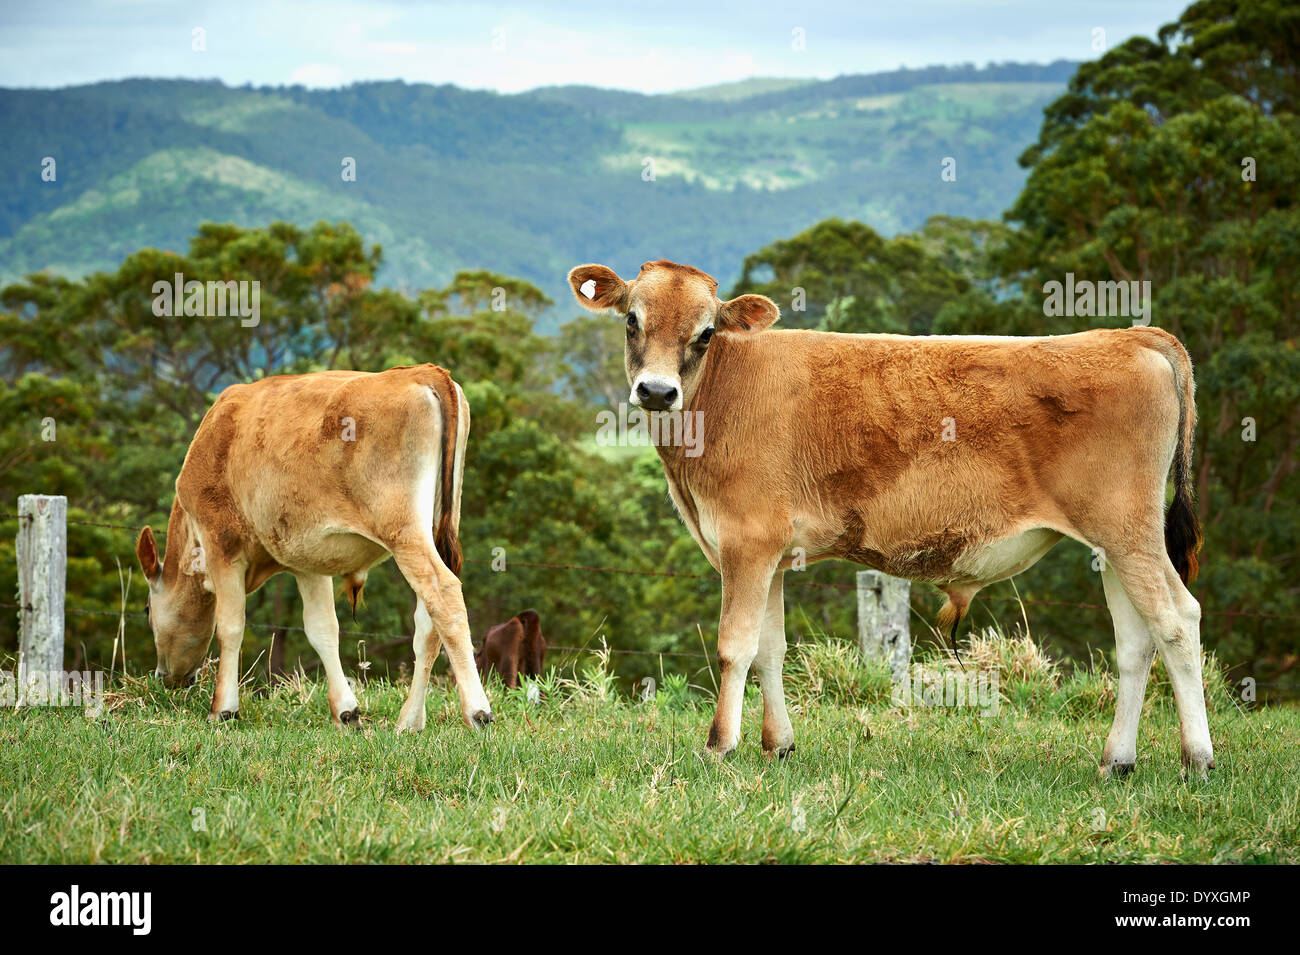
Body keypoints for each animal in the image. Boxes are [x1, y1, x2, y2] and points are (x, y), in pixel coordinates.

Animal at [133, 364, 494, 733]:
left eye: (147, 610)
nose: (165, 677)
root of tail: (422, 372)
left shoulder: (221, 542)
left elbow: (230, 626)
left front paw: (223, 708)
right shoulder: (308, 559)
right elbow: (323, 629)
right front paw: (346, 711)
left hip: (403, 530)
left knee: (444, 594)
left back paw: (477, 710)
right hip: (434, 528)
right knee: (426, 623)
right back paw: (410, 720)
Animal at [568, 259, 1214, 778]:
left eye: (704, 333)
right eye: (631, 320)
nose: (657, 391)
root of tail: (1130, 336)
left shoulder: (746, 542)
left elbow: (735, 646)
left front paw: (719, 746)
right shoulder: (771, 550)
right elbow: (771, 648)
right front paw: (778, 746)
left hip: (1128, 531)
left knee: (1177, 621)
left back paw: (1198, 759)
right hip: (1113, 543)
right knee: (1135, 640)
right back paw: (1117, 761)